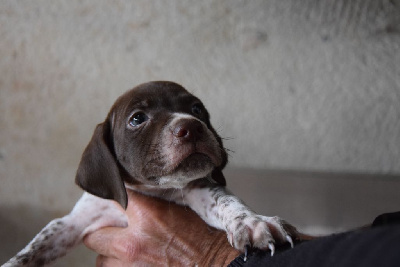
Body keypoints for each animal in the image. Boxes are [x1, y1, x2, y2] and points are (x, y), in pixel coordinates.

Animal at [4, 82, 298, 267]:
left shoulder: (200, 190)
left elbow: (227, 202)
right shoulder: (79, 219)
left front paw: (252, 223)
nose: (192, 127)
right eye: (137, 118)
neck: (153, 188)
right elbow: (39, 244)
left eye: (197, 109)